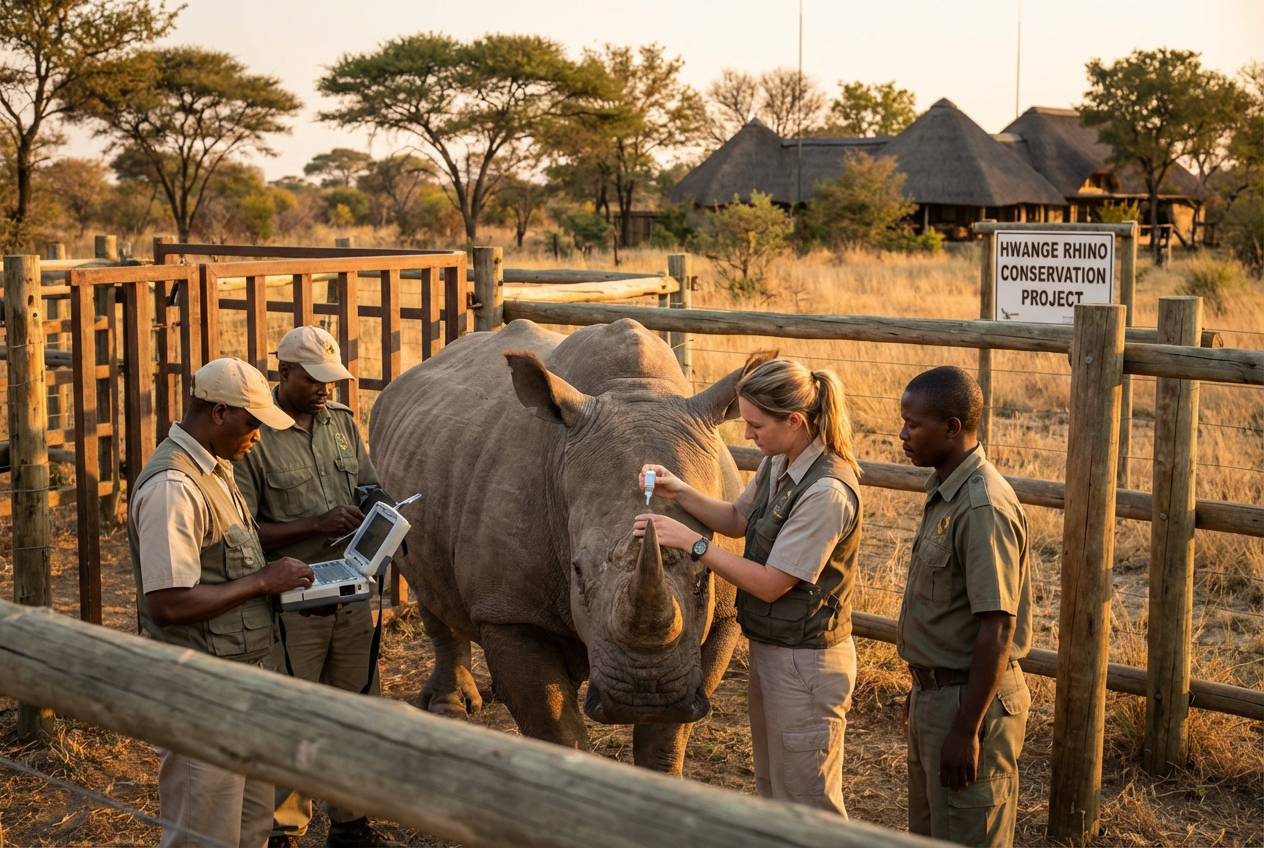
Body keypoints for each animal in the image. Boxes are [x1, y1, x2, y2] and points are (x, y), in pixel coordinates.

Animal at [369, 318, 759, 774]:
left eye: (704, 577)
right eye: (577, 570)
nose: (645, 694)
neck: (634, 388)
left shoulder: (723, 617)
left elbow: (666, 739)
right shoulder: (511, 611)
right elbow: (555, 728)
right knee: (424, 581)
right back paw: (450, 708)